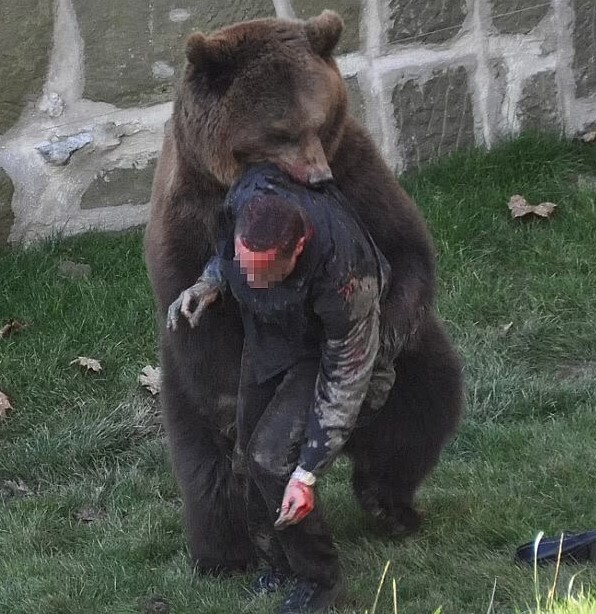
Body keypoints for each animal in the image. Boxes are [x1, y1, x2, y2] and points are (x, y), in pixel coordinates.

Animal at [146, 10, 466, 576]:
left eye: (318, 121)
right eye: (280, 130)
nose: (317, 176)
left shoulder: (356, 169)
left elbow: (405, 247)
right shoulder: (188, 215)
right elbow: (204, 322)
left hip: (413, 372)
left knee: (425, 402)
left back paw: (389, 504)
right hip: (181, 392)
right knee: (207, 469)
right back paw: (229, 552)